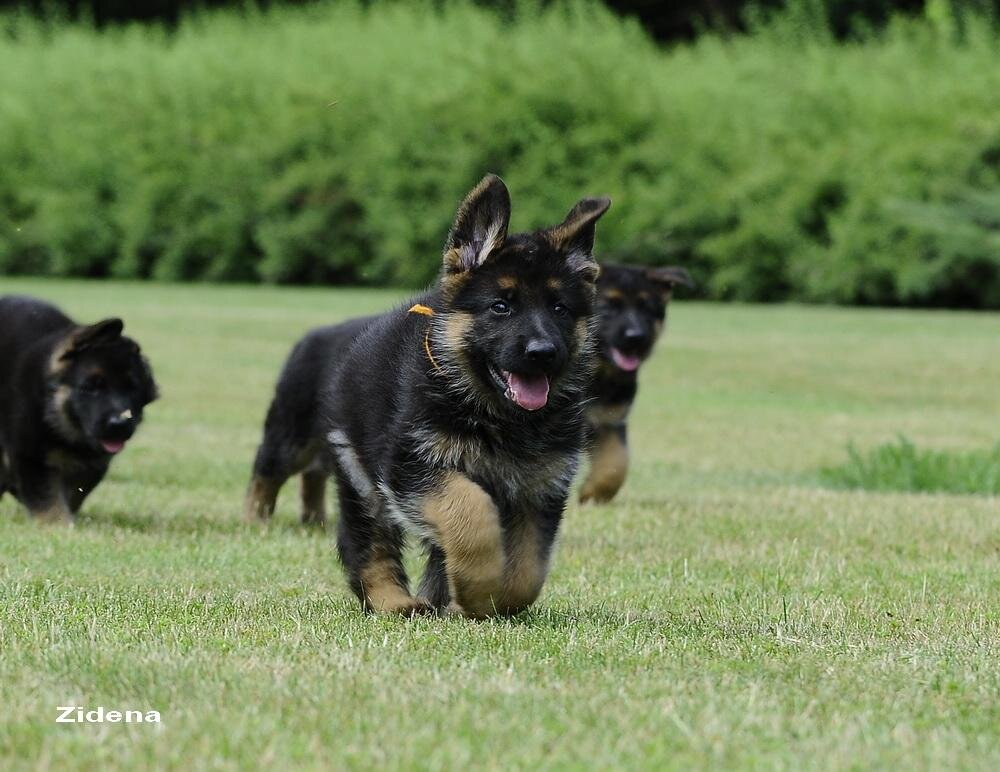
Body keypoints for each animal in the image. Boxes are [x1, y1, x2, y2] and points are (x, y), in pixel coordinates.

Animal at [0, 296, 157, 524]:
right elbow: (46, 496)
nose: (119, 423)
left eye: (132, 388)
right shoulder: (29, 452)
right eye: (90, 388)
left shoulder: (94, 463)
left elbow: (75, 492)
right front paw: (57, 525)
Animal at [250, 173, 608, 616]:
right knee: (360, 538)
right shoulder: (412, 467)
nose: (543, 353)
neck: (497, 415)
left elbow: (528, 569)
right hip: (348, 468)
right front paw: (478, 587)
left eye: (560, 308)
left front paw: (488, 600)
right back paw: (390, 599)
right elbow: (471, 512)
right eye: (501, 306)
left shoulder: (540, 489)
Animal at [576, 264, 692, 506]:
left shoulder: (610, 420)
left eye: (646, 309)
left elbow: (617, 463)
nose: (635, 337)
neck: (599, 375)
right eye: (608, 307)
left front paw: (593, 494)